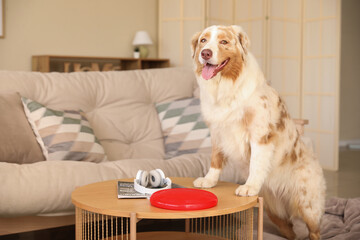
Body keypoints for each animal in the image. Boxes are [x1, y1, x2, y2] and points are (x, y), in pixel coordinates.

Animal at [191, 25, 326, 239]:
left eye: (224, 42)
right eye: (203, 41)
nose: (205, 53)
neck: (227, 87)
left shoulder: (260, 135)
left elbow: (256, 163)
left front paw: (249, 186)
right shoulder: (218, 131)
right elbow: (215, 159)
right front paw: (209, 180)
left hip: (308, 205)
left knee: (315, 231)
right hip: (275, 213)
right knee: (291, 231)